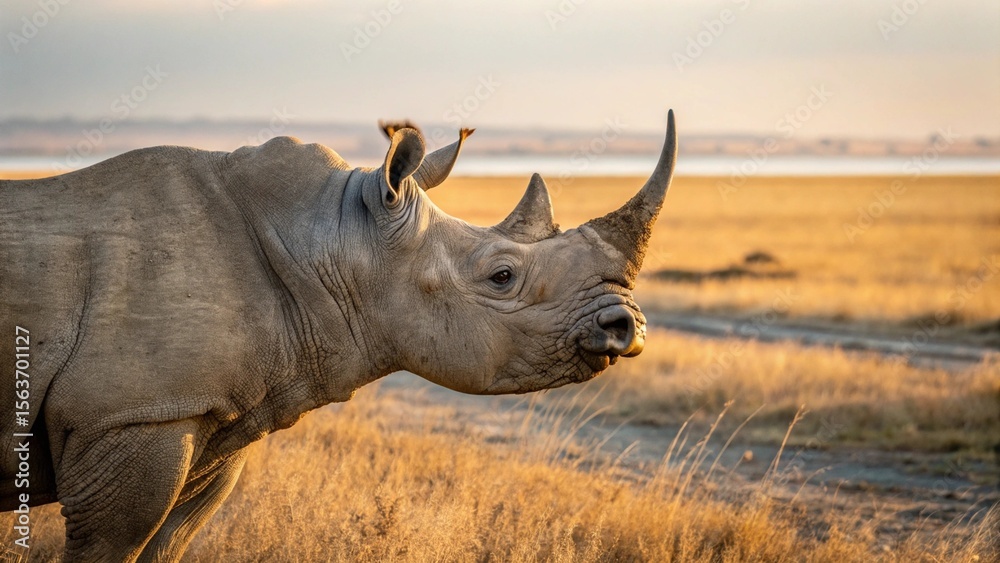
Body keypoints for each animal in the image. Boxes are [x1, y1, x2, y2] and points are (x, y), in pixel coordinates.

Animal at [0, 109, 677, 561]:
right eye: (503, 276)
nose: (627, 327)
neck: (332, 238)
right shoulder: (133, 412)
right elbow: (114, 545)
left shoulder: (206, 414)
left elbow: (167, 541)